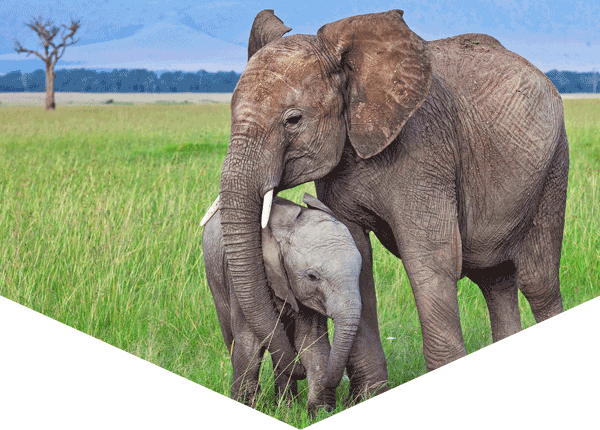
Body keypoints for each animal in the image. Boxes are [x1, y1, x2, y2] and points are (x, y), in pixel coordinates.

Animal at [202, 194, 364, 410]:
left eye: (360, 271)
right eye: (312, 276)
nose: (302, 370)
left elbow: (311, 341)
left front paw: (318, 411)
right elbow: (250, 344)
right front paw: (249, 405)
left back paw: (286, 406)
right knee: (233, 337)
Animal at [214, 8, 568, 402]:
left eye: (293, 120)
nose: (299, 373)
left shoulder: (425, 148)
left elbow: (430, 258)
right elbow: (359, 255)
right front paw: (367, 397)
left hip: (553, 162)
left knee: (537, 281)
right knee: (495, 279)